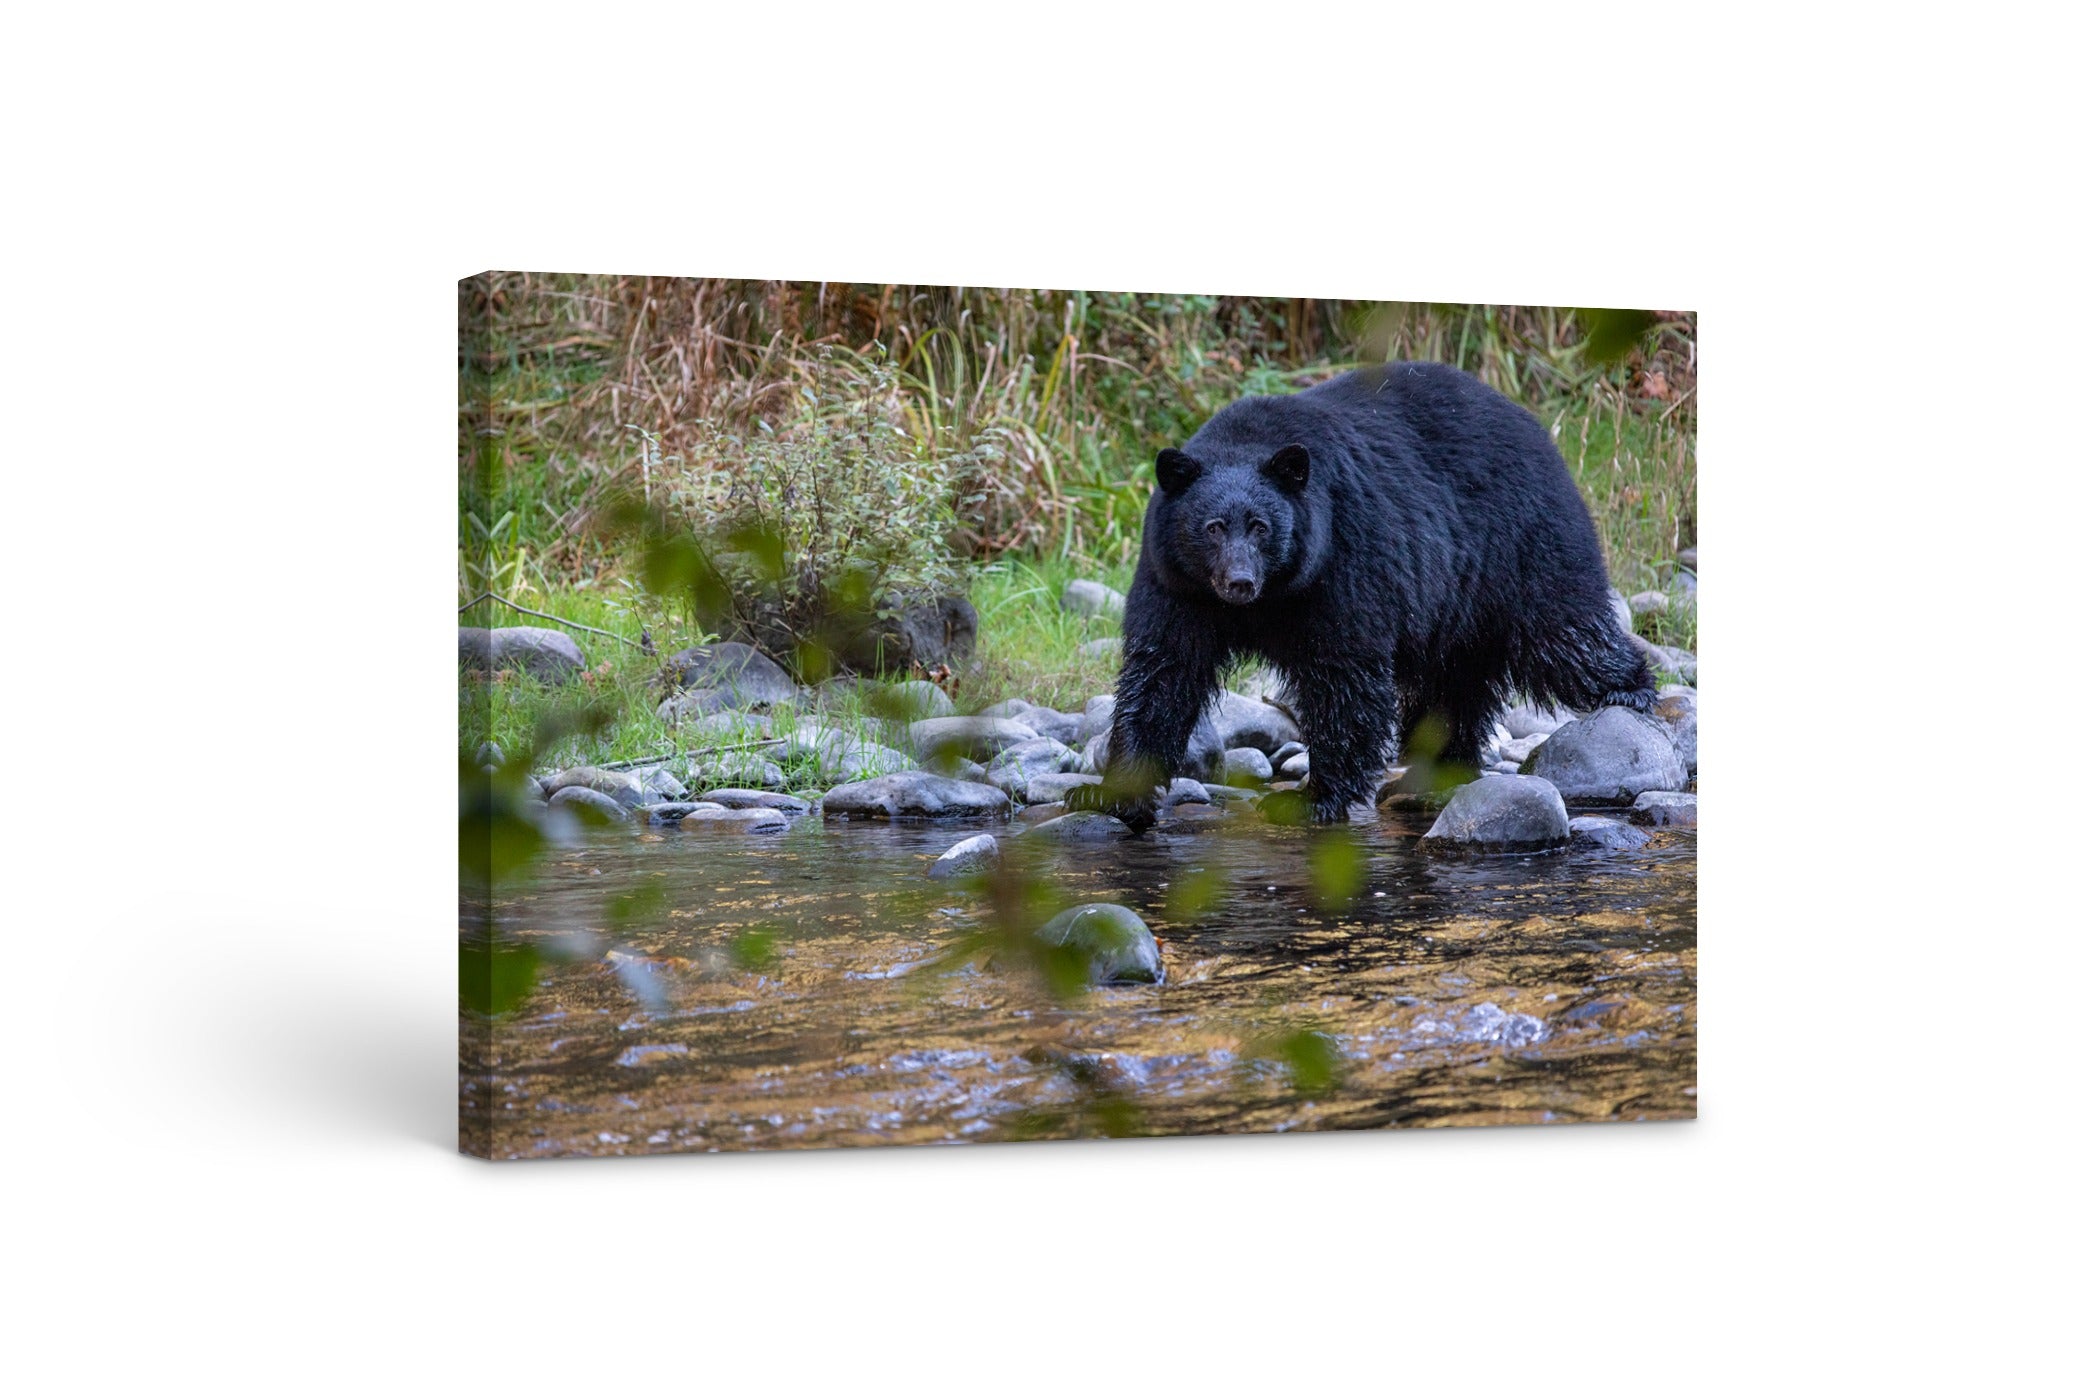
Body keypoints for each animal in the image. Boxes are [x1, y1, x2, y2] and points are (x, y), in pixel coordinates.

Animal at [1083, 356, 1654, 831]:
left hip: (1524, 546)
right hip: (1458, 604)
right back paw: (1438, 772)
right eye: (1213, 527)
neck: (1269, 597)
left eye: (1262, 527)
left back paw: (1630, 690)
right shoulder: (1178, 583)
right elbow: (1163, 673)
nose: (1239, 582)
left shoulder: (1343, 561)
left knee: (1563, 632)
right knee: (1453, 686)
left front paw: (1313, 798)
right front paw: (1115, 794)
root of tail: (1535, 428)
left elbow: (1344, 675)